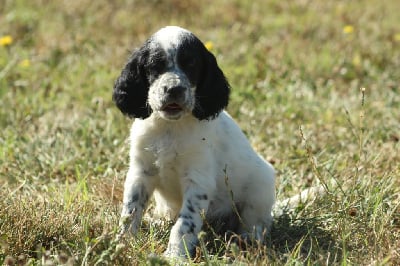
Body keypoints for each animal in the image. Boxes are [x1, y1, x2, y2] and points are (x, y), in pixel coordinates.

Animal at [112, 26, 276, 258]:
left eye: (191, 65)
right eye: (155, 65)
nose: (174, 89)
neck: (170, 128)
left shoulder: (197, 180)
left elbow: (184, 223)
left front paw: (175, 256)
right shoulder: (140, 173)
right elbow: (130, 211)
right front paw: (121, 243)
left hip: (261, 189)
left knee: (257, 222)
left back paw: (247, 241)